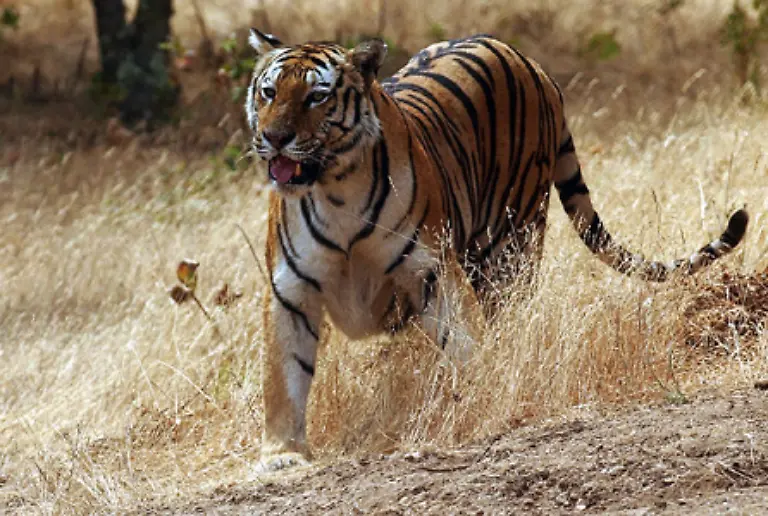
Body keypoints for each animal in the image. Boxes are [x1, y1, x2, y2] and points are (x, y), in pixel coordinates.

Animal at [244, 29, 748, 471]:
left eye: (316, 97)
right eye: (268, 92)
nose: (274, 139)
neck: (336, 189)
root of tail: (530, 62)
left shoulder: (431, 273)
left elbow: (464, 346)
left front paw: (481, 400)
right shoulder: (290, 290)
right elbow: (283, 376)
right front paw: (282, 455)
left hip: (510, 246)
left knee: (511, 319)